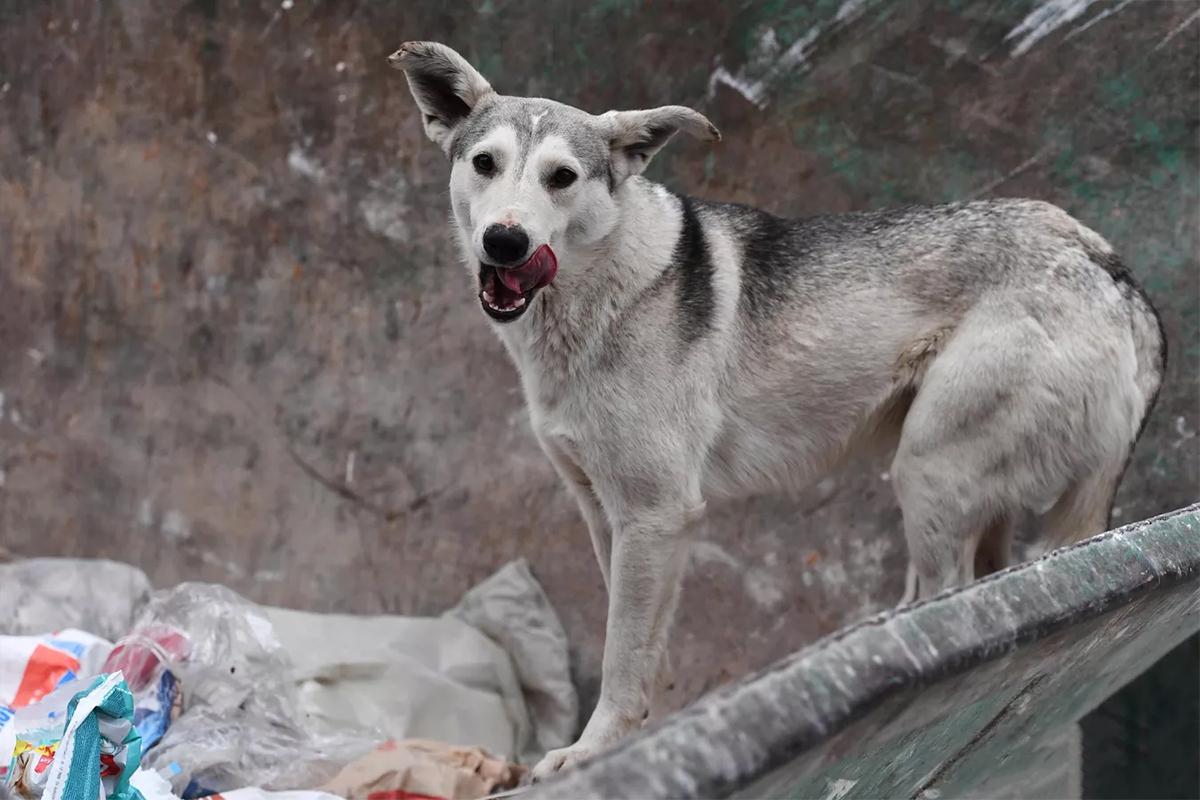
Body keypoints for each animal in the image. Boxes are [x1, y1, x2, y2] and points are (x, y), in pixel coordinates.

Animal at [388, 40, 1166, 777]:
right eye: (485, 164)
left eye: (562, 177)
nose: (505, 240)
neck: (599, 292)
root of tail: (1111, 270)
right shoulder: (607, 514)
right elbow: (637, 642)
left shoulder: (655, 513)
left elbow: (620, 651)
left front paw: (590, 753)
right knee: (987, 583)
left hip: (928, 473)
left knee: (957, 601)